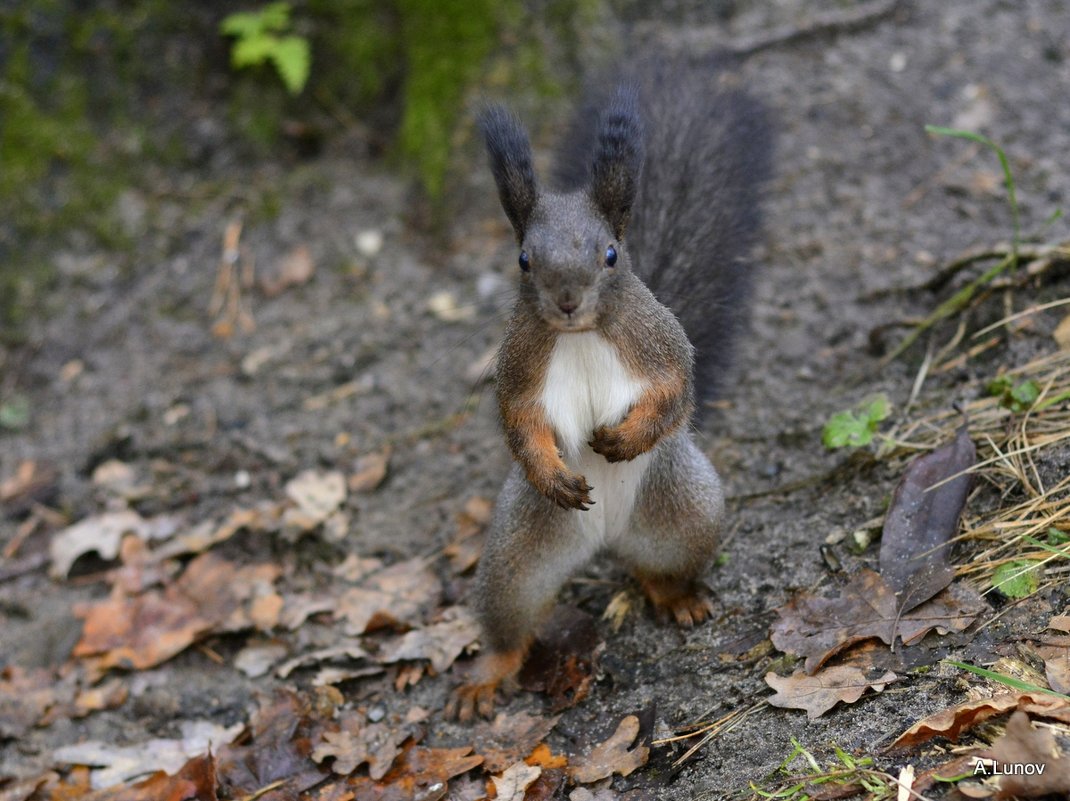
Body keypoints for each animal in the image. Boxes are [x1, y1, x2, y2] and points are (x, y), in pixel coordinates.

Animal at [447, 54, 774, 718]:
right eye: (523, 260)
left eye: (611, 254)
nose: (568, 302)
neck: (578, 336)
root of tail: (605, 540)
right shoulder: (518, 371)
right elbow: (519, 423)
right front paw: (555, 474)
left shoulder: (660, 346)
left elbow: (675, 393)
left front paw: (624, 440)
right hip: (515, 560)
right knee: (509, 623)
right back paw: (489, 672)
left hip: (687, 514)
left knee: (660, 570)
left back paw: (678, 598)